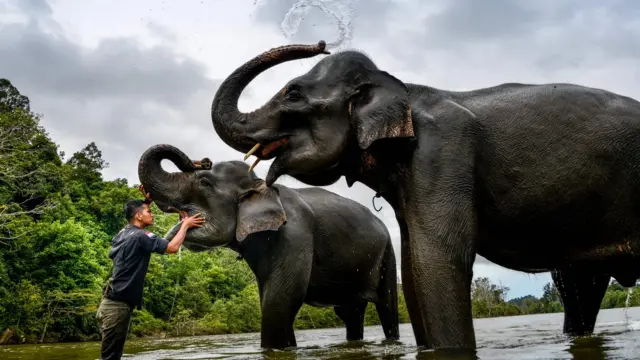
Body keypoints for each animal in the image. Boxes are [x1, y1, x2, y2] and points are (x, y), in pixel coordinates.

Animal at [138, 143, 400, 348]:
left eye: (204, 182)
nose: (203, 160)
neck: (260, 184)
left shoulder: (295, 235)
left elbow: (281, 300)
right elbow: (270, 298)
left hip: (388, 254)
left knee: (387, 307)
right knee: (350, 313)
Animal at [208, 40, 640, 352]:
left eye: (293, 94)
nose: (321, 43)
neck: (404, 90)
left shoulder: (444, 151)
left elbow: (436, 259)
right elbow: (414, 266)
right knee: (580, 284)